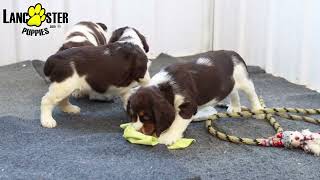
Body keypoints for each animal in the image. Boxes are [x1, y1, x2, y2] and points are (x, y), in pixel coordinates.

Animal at [126, 50, 264, 145]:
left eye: (146, 117)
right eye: (132, 115)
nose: (137, 130)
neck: (165, 86)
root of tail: (233, 53)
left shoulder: (188, 106)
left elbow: (177, 123)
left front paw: (168, 136)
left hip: (244, 80)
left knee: (252, 94)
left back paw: (258, 111)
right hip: (231, 83)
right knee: (233, 92)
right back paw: (235, 108)